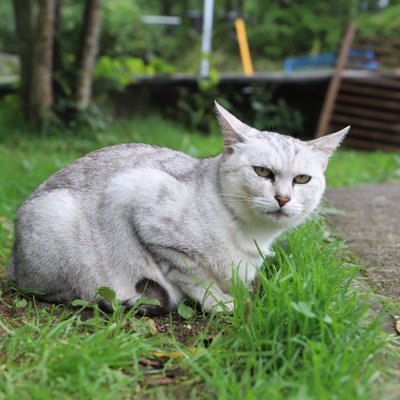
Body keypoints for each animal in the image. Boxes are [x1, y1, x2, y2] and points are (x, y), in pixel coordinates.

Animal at [7, 103, 348, 316]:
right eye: (262, 172)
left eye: (302, 179)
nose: (283, 198)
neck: (252, 234)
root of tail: (12, 263)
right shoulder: (140, 204)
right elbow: (195, 279)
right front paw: (224, 305)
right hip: (57, 217)